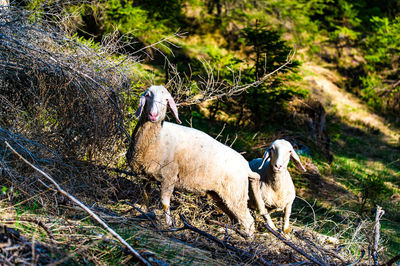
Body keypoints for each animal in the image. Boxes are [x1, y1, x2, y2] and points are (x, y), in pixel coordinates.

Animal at [126, 84, 262, 235]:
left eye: (166, 100)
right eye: (148, 95)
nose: (153, 115)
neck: (156, 139)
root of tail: (247, 167)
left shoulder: (169, 176)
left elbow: (164, 202)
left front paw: (168, 224)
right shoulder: (146, 177)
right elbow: (146, 197)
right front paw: (145, 213)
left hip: (236, 194)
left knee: (248, 221)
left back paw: (246, 238)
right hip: (221, 196)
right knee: (235, 218)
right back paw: (230, 232)